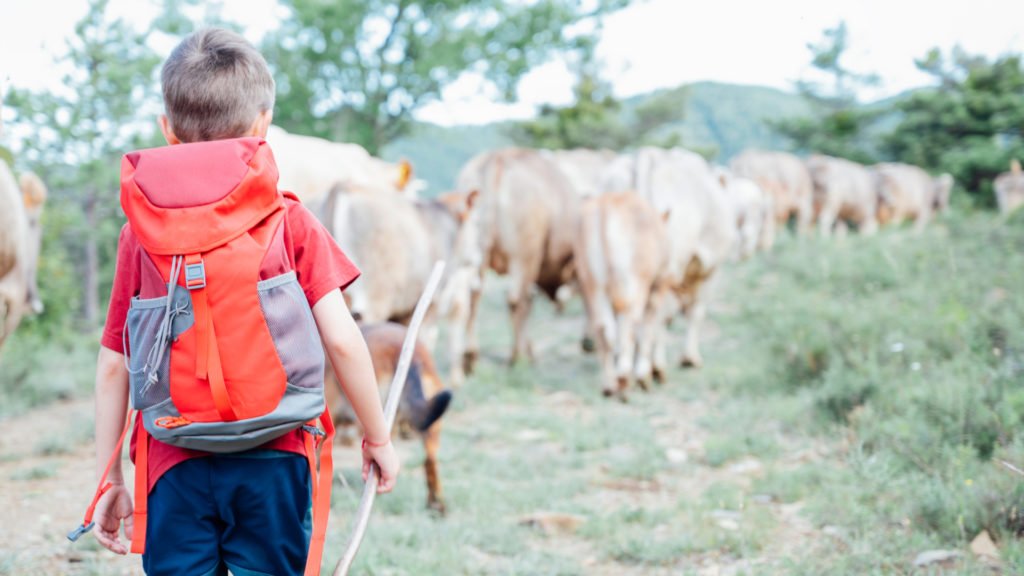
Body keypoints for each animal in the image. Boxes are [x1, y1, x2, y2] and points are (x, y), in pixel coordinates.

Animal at [458, 147, 581, 366]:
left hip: (474, 253)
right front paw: (528, 352)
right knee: (516, 301)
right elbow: (527, 304)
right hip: (522, 258)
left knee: (473, 298)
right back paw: (518, 357)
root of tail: (497, 158)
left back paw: (471, 356)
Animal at [581, 190, 667, 397]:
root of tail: (607, 202)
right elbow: (651, 327)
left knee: (604, 329)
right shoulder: (658, 286)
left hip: (593, 285)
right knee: (631, 324)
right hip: (635, 286)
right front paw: (646, 375)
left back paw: (609, 385)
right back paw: (624, 378)